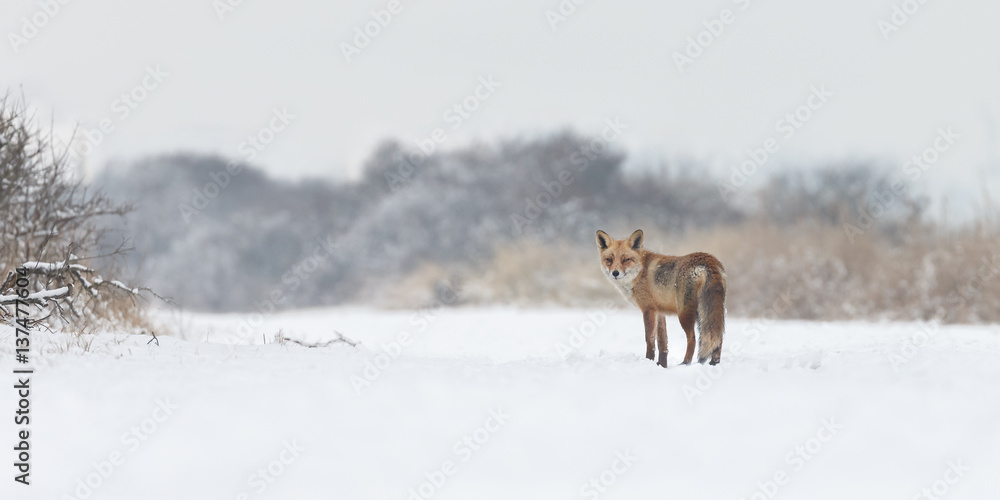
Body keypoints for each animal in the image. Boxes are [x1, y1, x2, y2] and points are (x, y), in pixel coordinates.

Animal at [596, 229, 727, 368]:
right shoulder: (659, 312)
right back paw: (714, 363)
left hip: (685, 314)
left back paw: (685, 363)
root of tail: (708, 259)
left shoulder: (648, 309)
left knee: (693, 339)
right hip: (711, 311)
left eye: (626, 259)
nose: (615, 273)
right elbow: (663, 342)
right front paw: (662, 365)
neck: (640, 271)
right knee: (718, 338)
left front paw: (648, 361)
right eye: (609, 259)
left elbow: (650, 339)